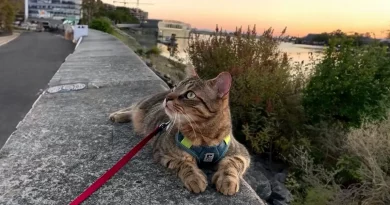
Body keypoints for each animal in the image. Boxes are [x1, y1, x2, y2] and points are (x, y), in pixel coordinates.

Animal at [109, 69, 250, 195]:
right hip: (143, 105)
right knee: (132, 108)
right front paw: (194, 177)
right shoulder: (163, 152)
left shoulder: (241, 153)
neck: (204, 137)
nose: (167, 98)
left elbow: (230, 164)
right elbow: (184, 163)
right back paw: (117, 115)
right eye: (175, 88)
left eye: (190, 94)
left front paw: (227, 181)